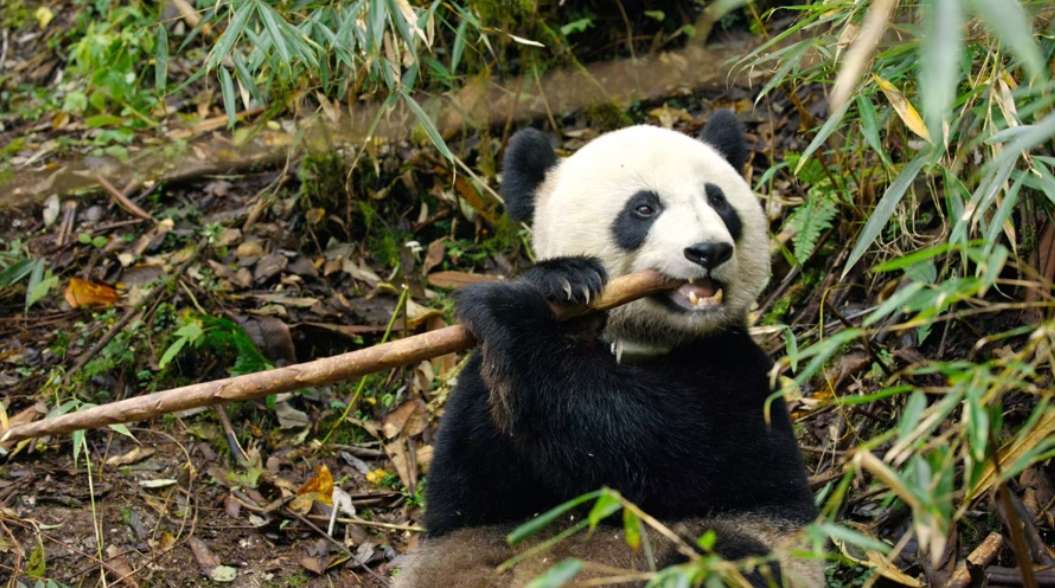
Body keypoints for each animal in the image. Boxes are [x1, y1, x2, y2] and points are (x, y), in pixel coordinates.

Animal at [394, 111, 821, 587]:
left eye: (719, 201)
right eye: (644, 208)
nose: (708, 250)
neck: (640, 340)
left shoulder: (736, 372)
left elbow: (651, 449)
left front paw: (512, 313)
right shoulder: (480, 394)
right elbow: (469, 492)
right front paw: (564, 279)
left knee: (723, 554)